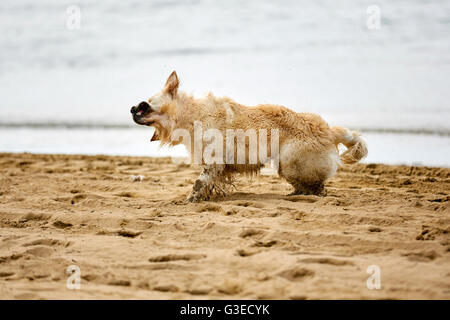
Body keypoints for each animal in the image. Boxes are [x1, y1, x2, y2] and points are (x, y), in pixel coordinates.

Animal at [129, 71, 366, 201]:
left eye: (145, 104)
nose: (131, 108)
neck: (191, 115)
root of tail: (330, 130)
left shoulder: (213, 161)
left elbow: (199, 181)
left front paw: (191, 199)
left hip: (290, 163)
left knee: (317, 187)